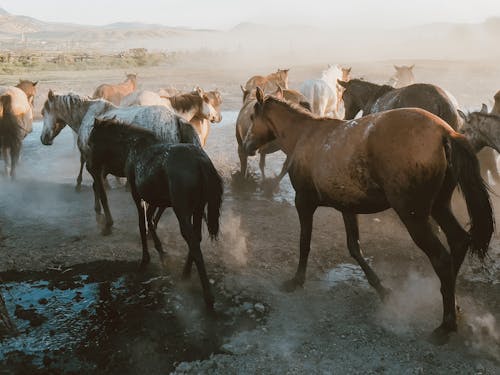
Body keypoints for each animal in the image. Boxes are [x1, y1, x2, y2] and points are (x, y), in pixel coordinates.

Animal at [87, 119, 223, 310]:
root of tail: (200, 161)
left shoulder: (137, 195)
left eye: (92, 142)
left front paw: (145, 258)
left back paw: (207, 295)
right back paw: (185, 273)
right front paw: (161, 251)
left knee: (193, 241)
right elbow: (150, 221)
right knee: (196, 238)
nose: (90, 167)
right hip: (197, 208)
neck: (133, 147)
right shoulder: (158, 200)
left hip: (182, 211)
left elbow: (142, 223)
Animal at [244, 87, 494, 344]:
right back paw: (453, 303)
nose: (247, 146)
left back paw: (447, 324)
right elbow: (354, 247)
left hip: (414, 216)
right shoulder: (347, 206)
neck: (305, 136)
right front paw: (382, 289)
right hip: (440, 206)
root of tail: (445, 132)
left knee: (442, 259)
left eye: (253, 117)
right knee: (459, 241)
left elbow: (305, 242)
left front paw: (296, 280)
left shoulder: (303, 202)